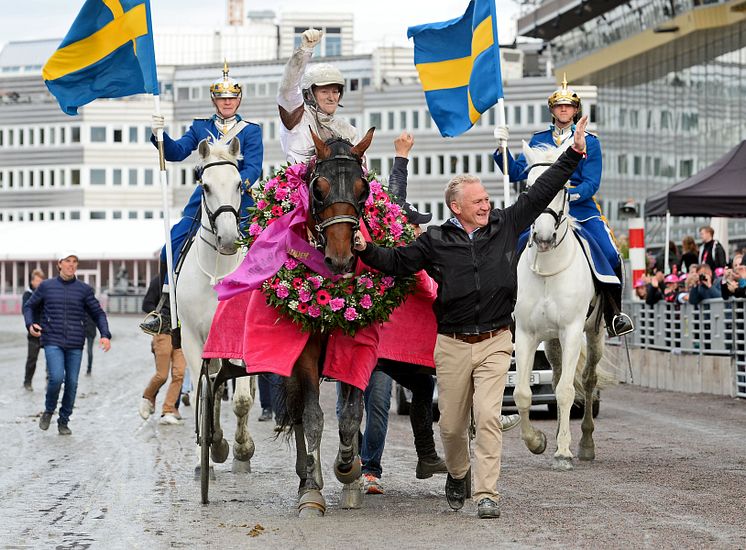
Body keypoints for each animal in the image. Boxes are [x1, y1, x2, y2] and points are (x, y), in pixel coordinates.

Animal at [512, 140, 604, 472]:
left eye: (564, 187)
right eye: (528, 186)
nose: (542, 237)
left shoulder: (572, 330)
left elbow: (565, 391)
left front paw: (563, 453)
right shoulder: (525, 333)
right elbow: (522, 393)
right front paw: (537, 441)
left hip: (594, 333)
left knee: (587, 380)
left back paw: (586, 444)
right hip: (550, 339)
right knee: (557, 373)